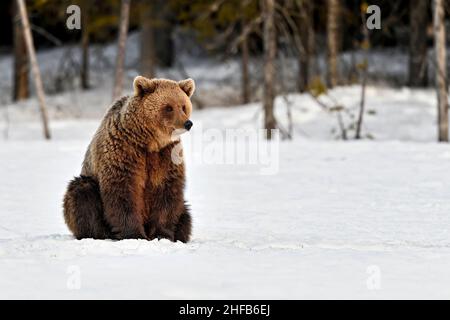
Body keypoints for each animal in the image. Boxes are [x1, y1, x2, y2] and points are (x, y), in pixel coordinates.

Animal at [63, 77, 195, 242]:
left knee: (185, 215)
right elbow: (124, 192)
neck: (150, 142)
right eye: (168, 107)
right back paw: (98, 233)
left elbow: (167, 193)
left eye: (183, 106)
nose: (187, 123)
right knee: (82, 194)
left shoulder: (166, 156)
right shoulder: (124, 151)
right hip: (88, 185)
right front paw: (133, 234)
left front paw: (162, 234)